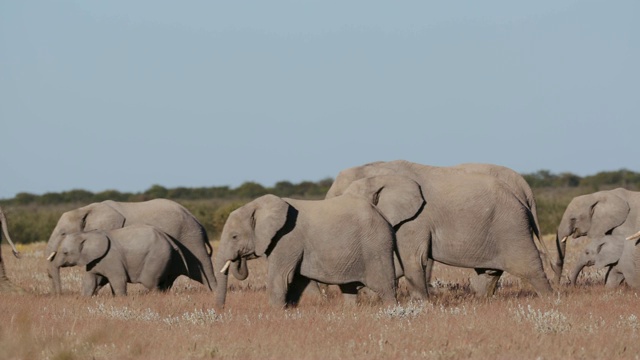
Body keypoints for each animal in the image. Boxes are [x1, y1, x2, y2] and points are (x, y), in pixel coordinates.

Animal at [52, 225, 188, 296]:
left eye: (65, 253)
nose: (59, 296)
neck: (87, 234)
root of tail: (168, 238)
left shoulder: (112, 258)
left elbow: (119, 279)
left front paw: (121, 299)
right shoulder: (93, 260)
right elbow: (90, 281)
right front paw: (84, 299)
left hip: (157, 256)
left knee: (151, 282)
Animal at [215, 179, 424, 308]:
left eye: (234, 236)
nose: (220, 310)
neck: (257, 205)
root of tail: (382, 216)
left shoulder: (287, 238)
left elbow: (281, 277)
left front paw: (275, 312)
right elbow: (298, 280)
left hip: (376, 246)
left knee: (384, 286)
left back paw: (391, 311)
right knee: (349, 289)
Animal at [324, 160, 556, 298]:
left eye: (340, 199)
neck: (375, 171)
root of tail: (525, 192)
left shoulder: (414, 220)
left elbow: (412, 259)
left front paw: (421, 305)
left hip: (511, 224)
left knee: (529, 265)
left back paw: (551, 301)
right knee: (489, 272)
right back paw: (482, 300)